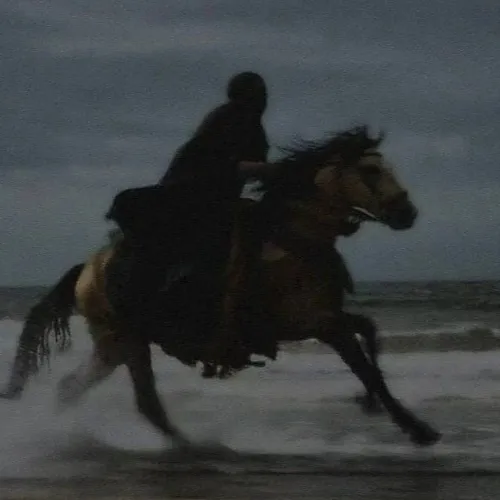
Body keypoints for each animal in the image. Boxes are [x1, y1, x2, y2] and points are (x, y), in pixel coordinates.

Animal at [0, 126, 441, 448]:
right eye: (370, 171)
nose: (407, 213)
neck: (293, 238)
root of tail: (86, 271)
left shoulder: (322, 318)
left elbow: (369, 331)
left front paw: (371, 405)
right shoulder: (314, 325)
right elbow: (366, 368)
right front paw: (418, 430)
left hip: (111, 346)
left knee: (70, 388)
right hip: (128, 340)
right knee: (146, 402)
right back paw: (193, 447)